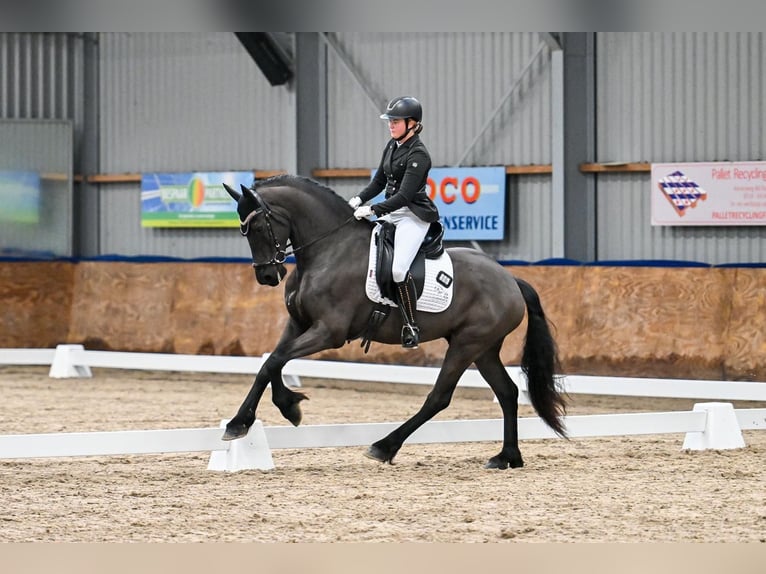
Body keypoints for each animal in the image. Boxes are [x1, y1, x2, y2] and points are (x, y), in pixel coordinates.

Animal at [222, 174, 566, 469]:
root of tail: (510, 279)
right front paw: (272, 411)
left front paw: (258, 416)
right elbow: (271, 363)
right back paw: (507, 457)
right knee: (507, 393)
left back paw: (384, 446)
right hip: (483, 349)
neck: (328, 250)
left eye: (258, 227)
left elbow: (275, 360)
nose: (268, 276)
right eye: (243, 231)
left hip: (468, 344)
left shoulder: (329, 332)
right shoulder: (298, 324)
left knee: (439, 397)